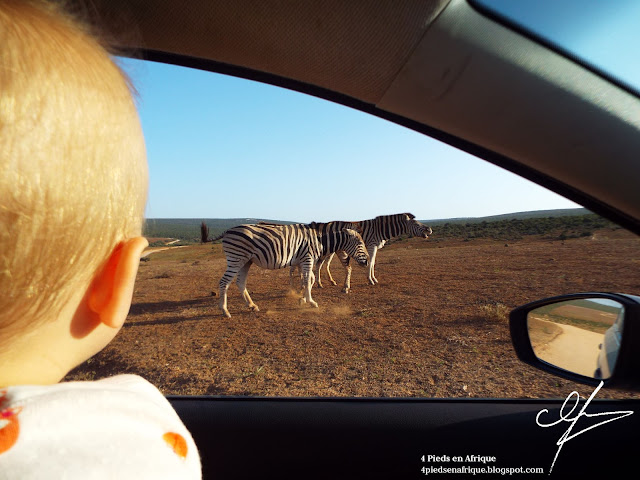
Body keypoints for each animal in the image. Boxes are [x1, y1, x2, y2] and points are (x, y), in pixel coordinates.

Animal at [200, 222, 370, 318]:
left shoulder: (302, 260)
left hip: (246, 261)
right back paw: (225, 310)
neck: (318, 241)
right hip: (236, 258)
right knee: (224, 282)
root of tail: (228, 231)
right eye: (361, 244)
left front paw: (302, 298)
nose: (368, 262)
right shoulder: (307, 259)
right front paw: (311, 301)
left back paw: (252, 306)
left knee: (240, 282)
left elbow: (309, 280)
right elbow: (307, 279)